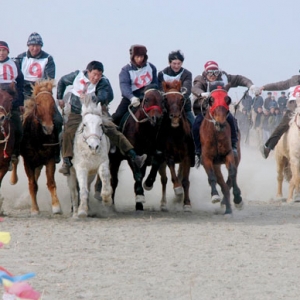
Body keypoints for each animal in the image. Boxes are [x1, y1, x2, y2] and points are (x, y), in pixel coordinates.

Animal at [17, 79, 62, 216]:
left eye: (53, 103)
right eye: (38, 104)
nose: (48, 128)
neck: (37, 137)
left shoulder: (50, 159)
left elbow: (51, 182)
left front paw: (56, 206)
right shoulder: (28, 161)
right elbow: (32, 184)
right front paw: (34, 209)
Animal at [144, 79, 195, 211]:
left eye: (181, 99)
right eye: (165, 100)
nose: (175, 117)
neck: (176, 134)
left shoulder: (187, 157)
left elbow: (185, 180)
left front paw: (187, 203)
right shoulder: (168, 156)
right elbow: (172, 176)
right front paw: (177, 188)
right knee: (164, 179)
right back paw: (163, 203)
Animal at [199, 86, 244, 216]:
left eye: (227, 100)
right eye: (211, 100)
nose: (220, 123)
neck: (216, 134)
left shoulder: (229, 154)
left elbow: (232, 173)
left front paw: (238, 199)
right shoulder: (206, 158)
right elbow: (212, 177)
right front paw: (214, 196)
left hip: (236, 156)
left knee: (229, 179)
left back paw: (228, 204)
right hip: (216, 164)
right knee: (221, 182)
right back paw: (226, 206)